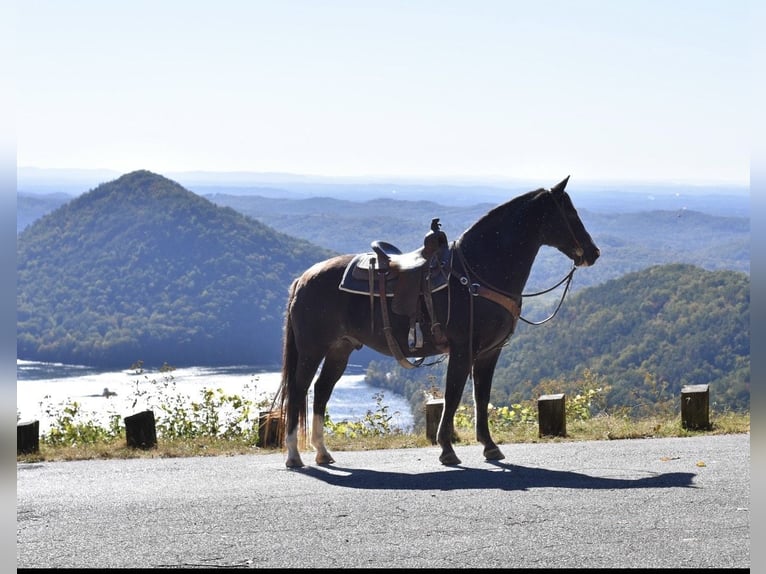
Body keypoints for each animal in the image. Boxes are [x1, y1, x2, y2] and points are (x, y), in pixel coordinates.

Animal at [274, 176, 600, 467]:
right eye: (569, 212)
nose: (593, 253)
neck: (477, 273)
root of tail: (302, 279)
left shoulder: (489, 353)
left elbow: (481, 397)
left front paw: (490, 447)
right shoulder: (462, 349)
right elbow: (453, 395)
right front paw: (447, 449)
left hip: (339, 349)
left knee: (321, 391)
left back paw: (322, 452)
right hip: (313, 349)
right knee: (299, 391)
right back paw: (293, 456)